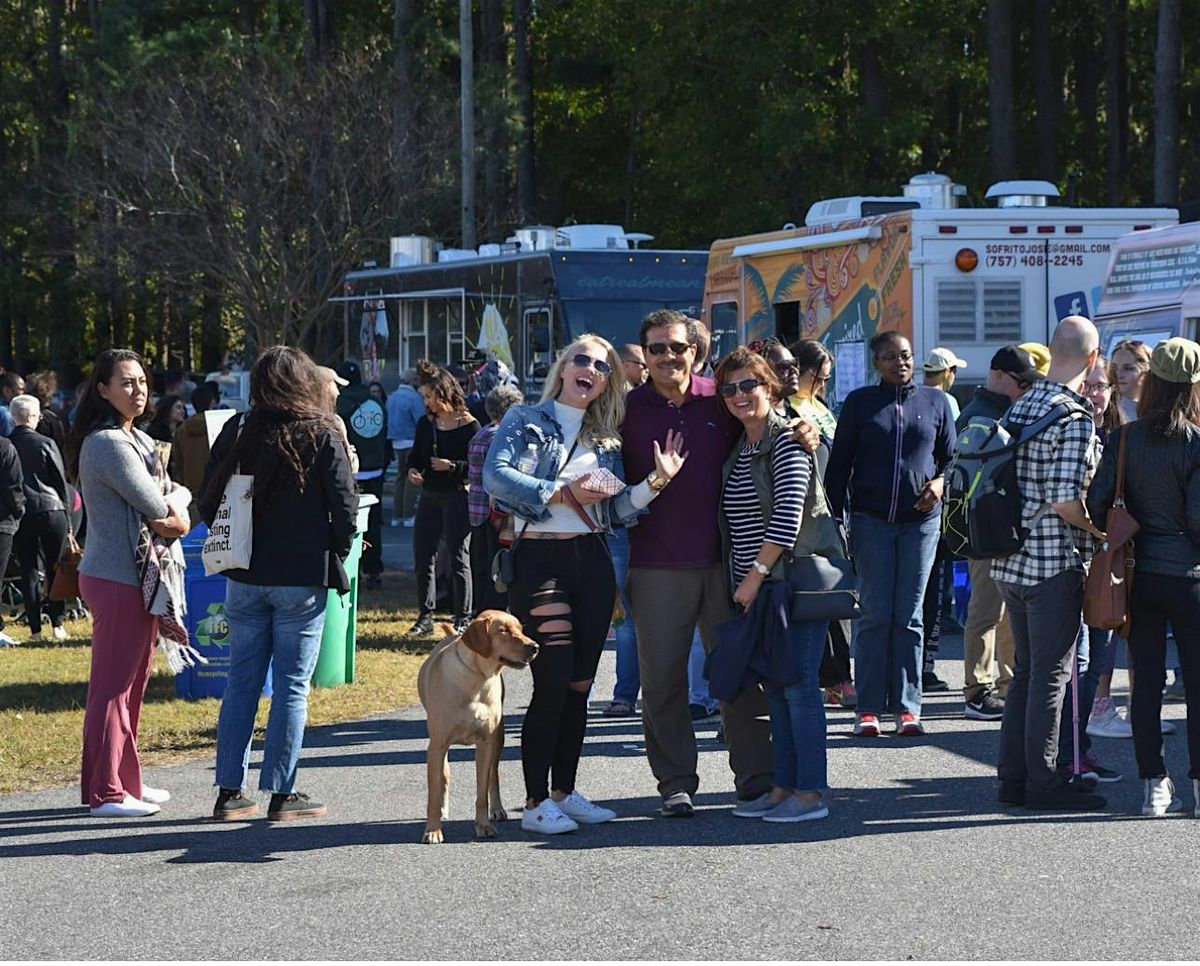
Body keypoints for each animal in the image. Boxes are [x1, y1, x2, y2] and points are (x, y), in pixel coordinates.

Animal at [417, 609, 540, 844]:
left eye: (520, 629)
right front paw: (433, 830)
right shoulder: (437, 745)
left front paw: (483, 825)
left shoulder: (485, 744)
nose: (535, 647)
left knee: (494, 774)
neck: (477, 678)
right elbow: (434, 791)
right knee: (444, 774)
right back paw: (443, 810)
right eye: (503, 630)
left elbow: (482, 790)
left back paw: (497, 809)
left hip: (499, 737)